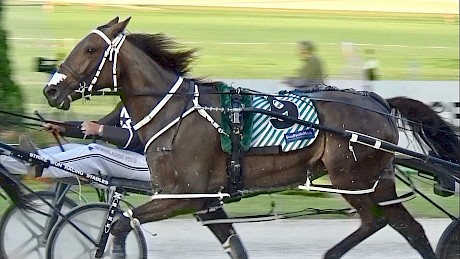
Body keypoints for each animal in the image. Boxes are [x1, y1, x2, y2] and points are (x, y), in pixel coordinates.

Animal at [41, 17, 458, 258]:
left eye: (90, 48)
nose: (51, 90)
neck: (175, 113)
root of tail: (378, 101)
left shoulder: (182, 196)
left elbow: (122, 223)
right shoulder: (207, 202)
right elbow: (233, 244)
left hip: (352, 178)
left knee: (380, 222)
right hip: (376, 180)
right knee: (404, 228)